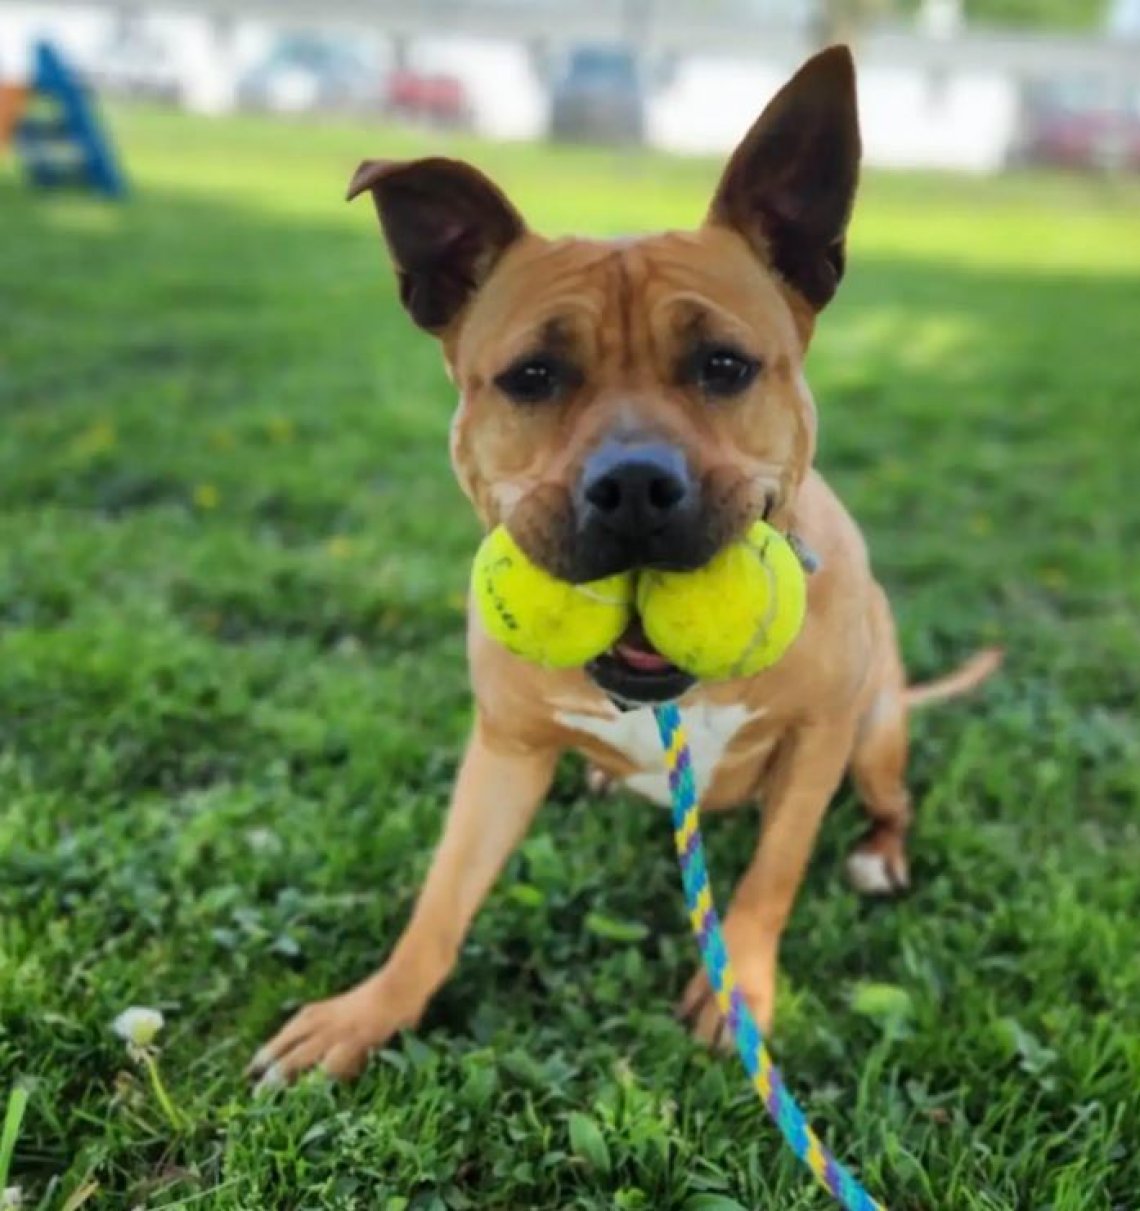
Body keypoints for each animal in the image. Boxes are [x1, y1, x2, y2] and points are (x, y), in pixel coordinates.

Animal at [249, 49, 998, 1089]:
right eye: (531, 376)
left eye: (724, 365)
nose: (636, 485)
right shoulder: (503, 753)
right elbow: (440, 904)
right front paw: (368, 1012)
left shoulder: (818, 742)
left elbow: (770, 879)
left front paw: (741, 995)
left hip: (878, 727)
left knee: (892, 801)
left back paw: (879, 855)